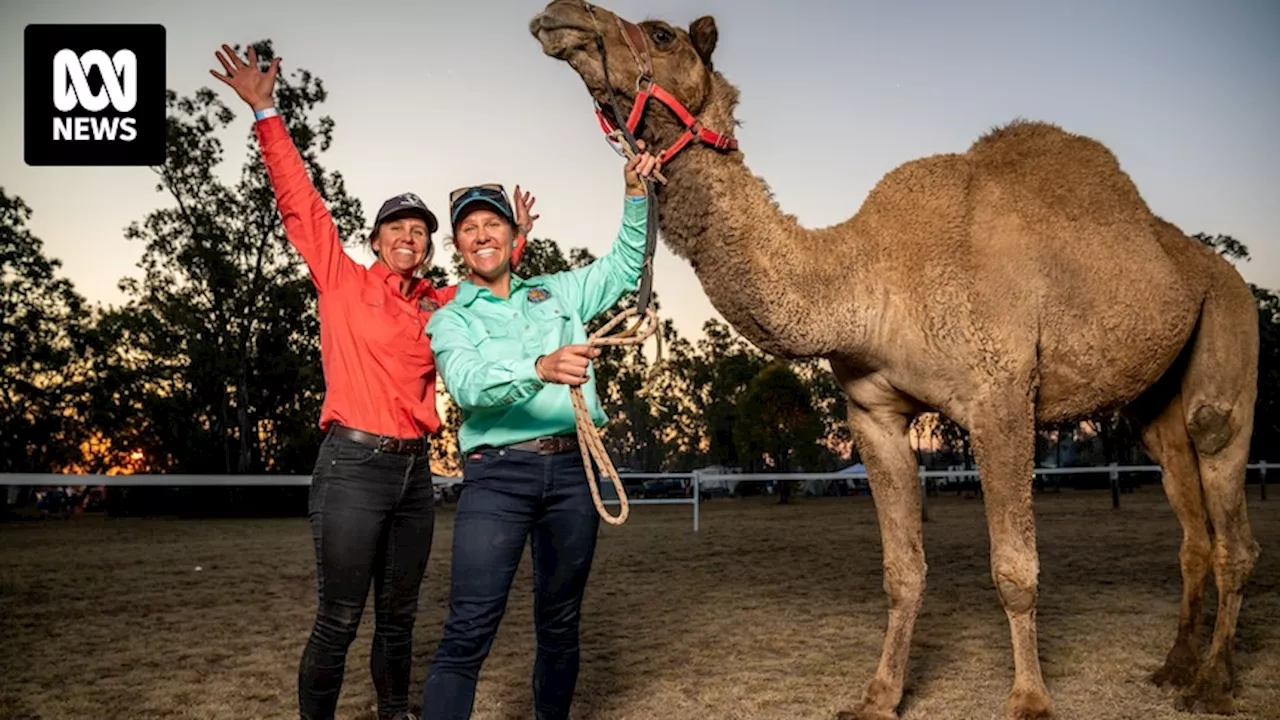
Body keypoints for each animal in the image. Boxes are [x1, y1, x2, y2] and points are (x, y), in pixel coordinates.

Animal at [527, 2, 1259, 712]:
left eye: (660, 33)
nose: (559, 14)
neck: (867, 278)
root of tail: (1215, 267)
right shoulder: (872, 412)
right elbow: (902, 571)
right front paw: (879, 695)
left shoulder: (1001, 396)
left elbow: (1014, 568)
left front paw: (1029, 699)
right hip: (1154, 400)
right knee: (1189, 518)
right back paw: (1174, 667)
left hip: (1229, 328)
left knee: (1224, 485)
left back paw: (1215, 683)